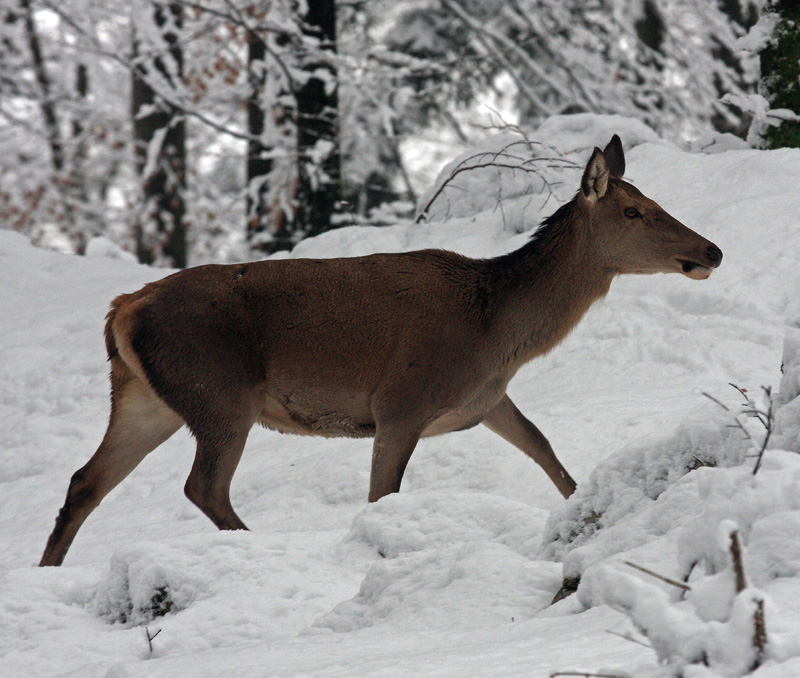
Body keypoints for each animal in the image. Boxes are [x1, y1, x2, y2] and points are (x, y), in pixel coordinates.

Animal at [39, 134, 724, 568]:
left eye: (656, 202)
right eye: (634, 211)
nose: (711, 250)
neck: (496, 331)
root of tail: (122, 309)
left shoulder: (485, 401)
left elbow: (546, 450)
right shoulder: (401, 402)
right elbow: (383, 495)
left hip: (146, 399)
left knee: (84, 481)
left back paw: (47, 569)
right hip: (220, 393)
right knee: (202, 486)